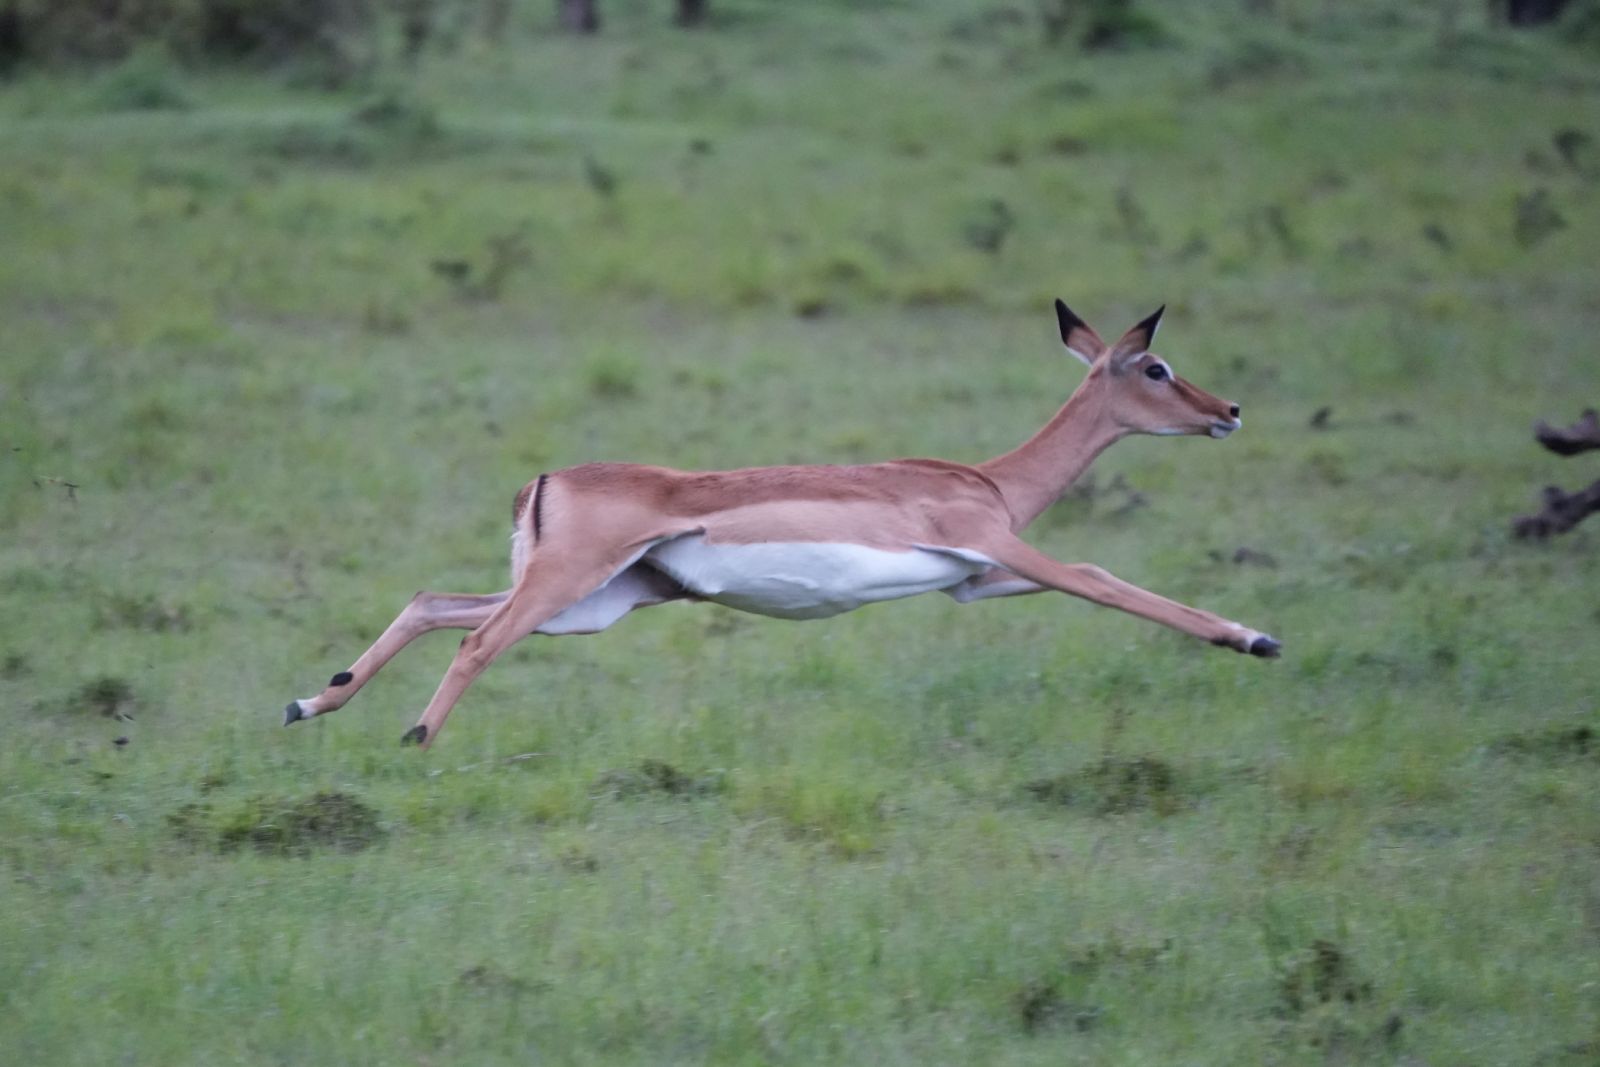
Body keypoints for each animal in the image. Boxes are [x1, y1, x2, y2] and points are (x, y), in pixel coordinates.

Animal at [284, 301, 1280, 749]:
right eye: (1156, 366)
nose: (1230, 410)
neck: (993, 481)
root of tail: (545, 478)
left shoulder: (977, 576)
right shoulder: (999, 544)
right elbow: (1102, 578)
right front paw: (1256, 637)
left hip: (594, 602)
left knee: (432, 601)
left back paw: (310, 702)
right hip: (568, 587)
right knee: (478, 638)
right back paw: (416, 736)